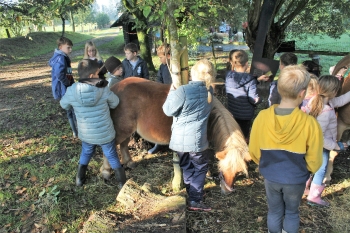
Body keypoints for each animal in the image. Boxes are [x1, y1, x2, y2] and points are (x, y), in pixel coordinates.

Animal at [100, 77, 250, 194]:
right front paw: (205, 174)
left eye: (238, 172)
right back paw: (106, 171)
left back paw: (129, 163)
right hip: (122, 129)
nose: (226, 191)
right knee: (110, 147)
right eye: (222, 169)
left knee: (123, 145)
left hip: (127, 130)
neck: (210, 116)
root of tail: (114, 88)